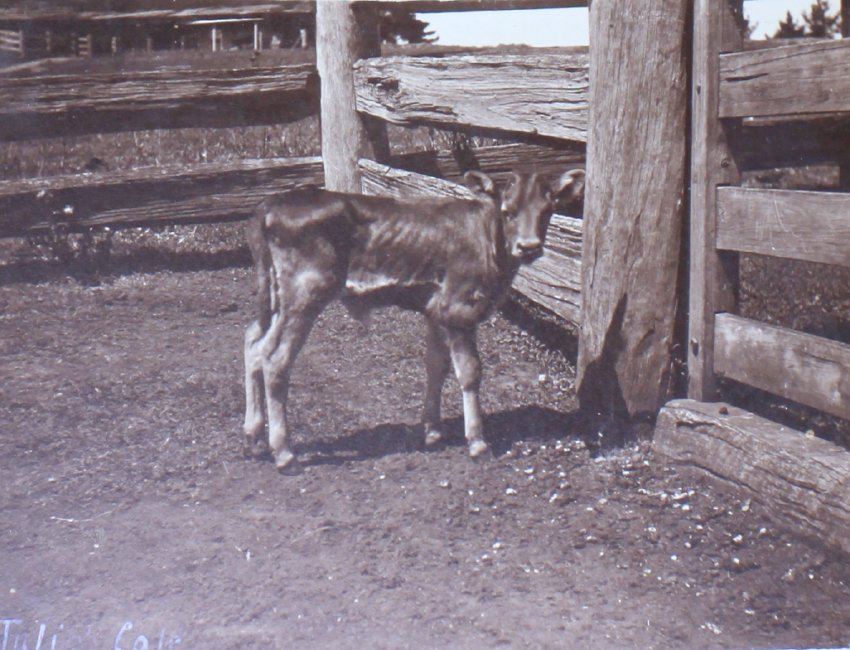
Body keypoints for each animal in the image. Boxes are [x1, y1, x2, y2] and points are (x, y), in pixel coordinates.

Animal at [242, 169, 585, 472]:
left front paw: (432, 430)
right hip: (305, 293)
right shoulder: (459, 308)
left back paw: (254, 435)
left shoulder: (436, 310)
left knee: (253, 343)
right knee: (275, 358)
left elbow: (436, 365)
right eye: (508, 210)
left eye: (547, 210)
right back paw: (283, 452)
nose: (529, 247)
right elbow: (470, 372)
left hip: (275, 298)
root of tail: (272, 204)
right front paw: (477, 441)